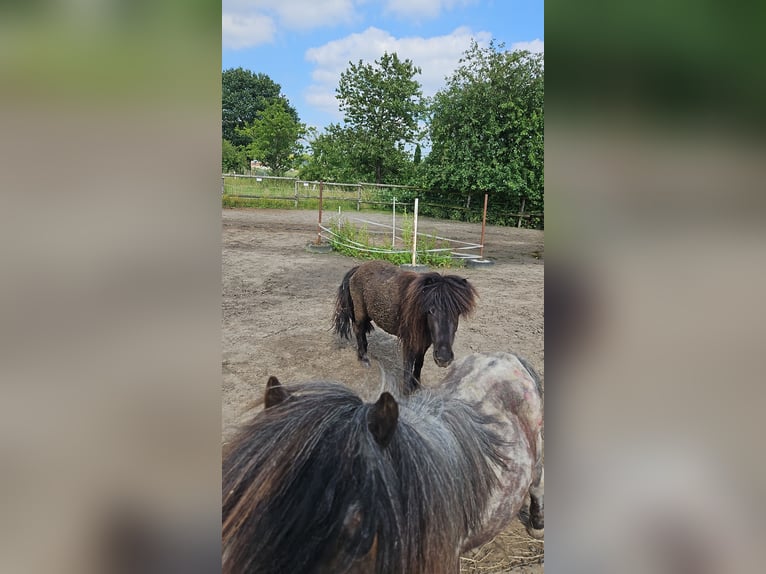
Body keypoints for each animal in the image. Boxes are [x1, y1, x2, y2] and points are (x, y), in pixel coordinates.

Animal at [332, 260, 476, 396]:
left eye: (457, 312)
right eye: (430, 310)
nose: (443, 358)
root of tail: (359, 268)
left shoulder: (425, 343)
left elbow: (419, 363)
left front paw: (417, 386)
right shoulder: (409, 341)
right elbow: (408, 365)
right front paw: (406, 391)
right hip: (360, 314)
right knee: (358, 330)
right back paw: (364, 359)